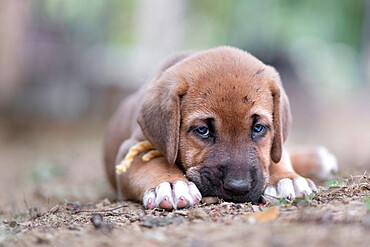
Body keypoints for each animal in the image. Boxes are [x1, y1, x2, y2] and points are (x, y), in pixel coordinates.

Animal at [102, 45, 336, 208]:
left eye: (258, 128)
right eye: (202, 130)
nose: (238, 188)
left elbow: (275, 157)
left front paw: (286, 179)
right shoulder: (130, 150)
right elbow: (154, 163)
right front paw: (170, 185)